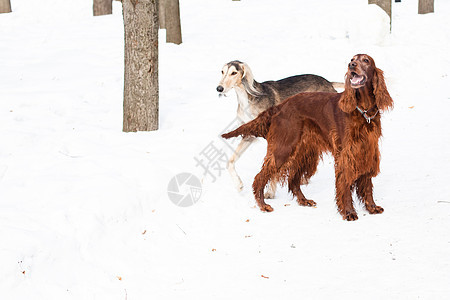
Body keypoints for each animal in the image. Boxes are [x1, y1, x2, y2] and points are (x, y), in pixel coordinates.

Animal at [223, 54, 392, 220]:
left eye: (365, 60)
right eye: (352, 59)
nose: (351, 66)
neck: (363, 110)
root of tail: (279, 107)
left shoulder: (367, 150)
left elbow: (367, 184)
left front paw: (371, 207)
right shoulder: (346, 154)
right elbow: (345, 183)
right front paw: (349, 212)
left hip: (305, 152)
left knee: (292, 180)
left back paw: (303, 201)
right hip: (283, 149)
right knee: (260, 177)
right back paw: (263, 205)